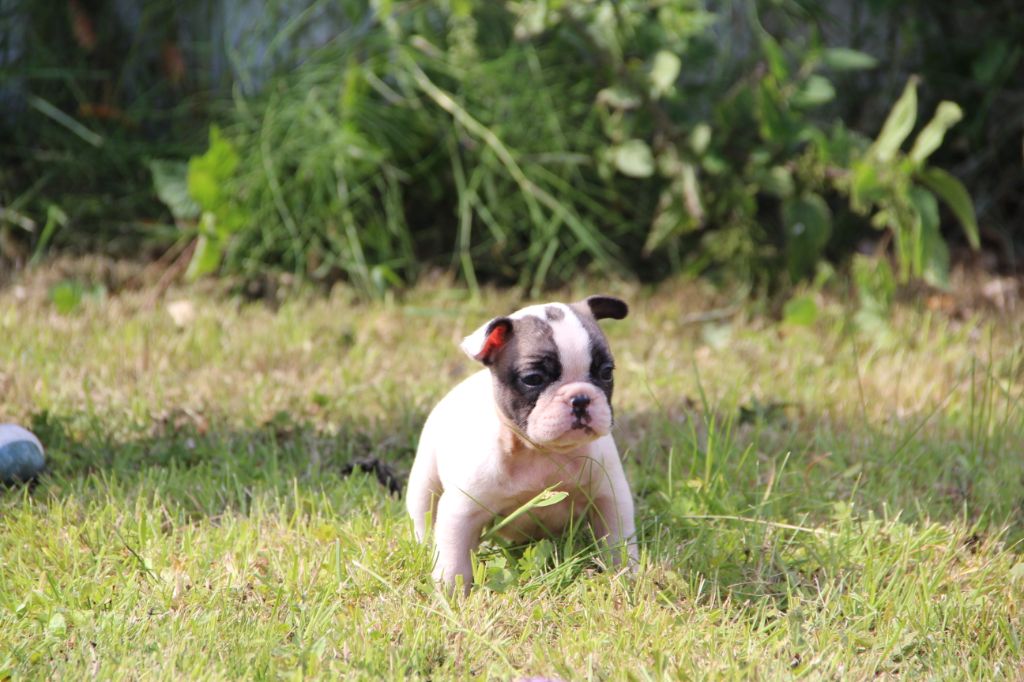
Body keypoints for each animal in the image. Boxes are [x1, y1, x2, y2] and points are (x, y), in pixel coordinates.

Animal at [406, 295, 638, 592]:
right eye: (533, 379)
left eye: (607, 372)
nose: (580, 398)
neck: (539, 452)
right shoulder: (462, 511)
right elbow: (454, 558)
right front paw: (451, 591)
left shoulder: (608, 496)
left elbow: (617, 539)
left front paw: (627, 575)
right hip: (424, 480)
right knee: (423, 513)